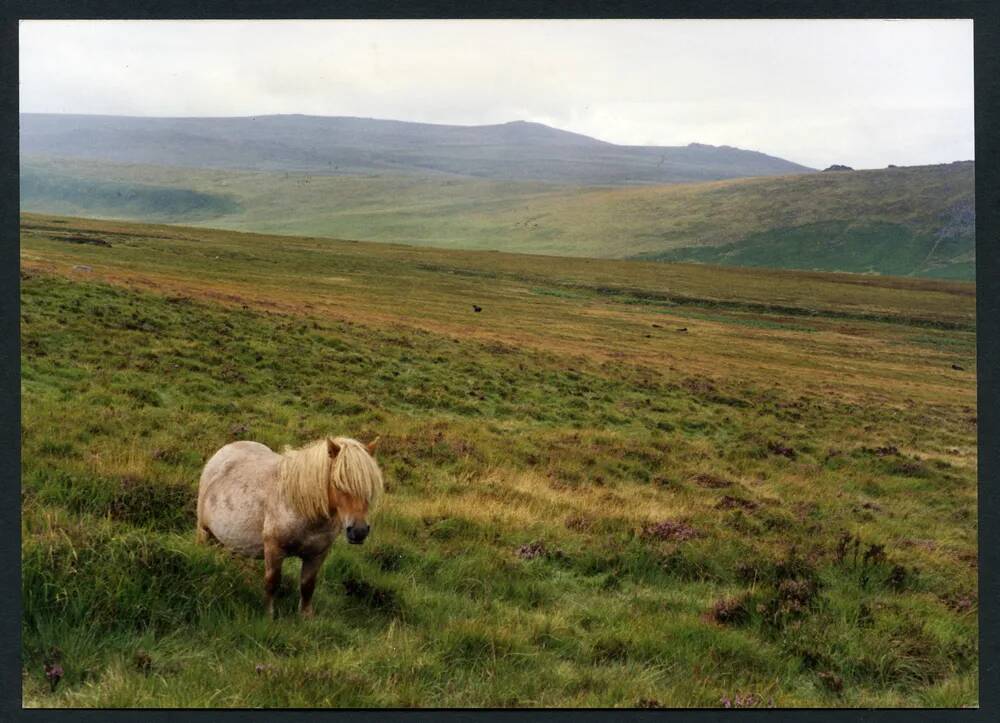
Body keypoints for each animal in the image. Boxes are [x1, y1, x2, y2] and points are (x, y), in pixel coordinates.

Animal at [196, 436, 382, 616]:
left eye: (370, 486)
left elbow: (307, 585)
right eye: (338, 483)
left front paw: (306, 616)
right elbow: (272, 582)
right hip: (204, 531)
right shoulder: (274, 549)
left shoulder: (317, 554)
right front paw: (269, 615)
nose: (359, 531)